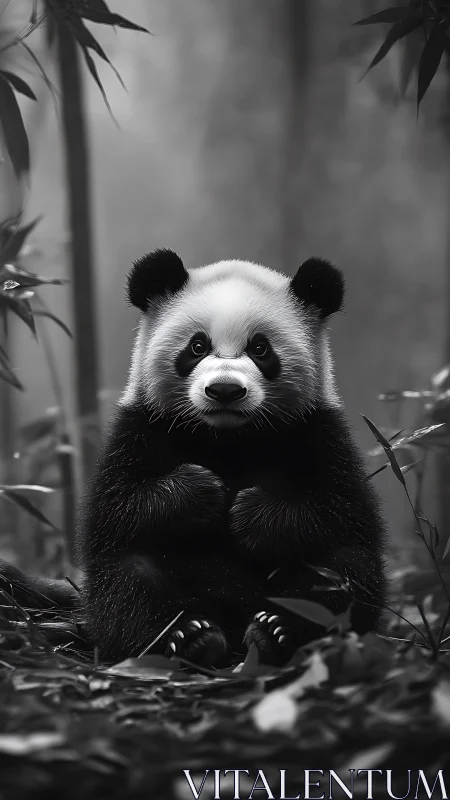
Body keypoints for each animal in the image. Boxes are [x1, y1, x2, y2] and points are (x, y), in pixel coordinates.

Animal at [0, 249, 387, 668]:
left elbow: (341, 511)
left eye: (260, 349)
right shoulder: (142, 427)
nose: (225, 390)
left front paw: (249, 511)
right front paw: (202, 490)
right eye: (197, 347)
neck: (226, 436)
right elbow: (115, 507)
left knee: (341, 576)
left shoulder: (316, 431)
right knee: (126, 582)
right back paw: (190, 637)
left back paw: (276, 632)